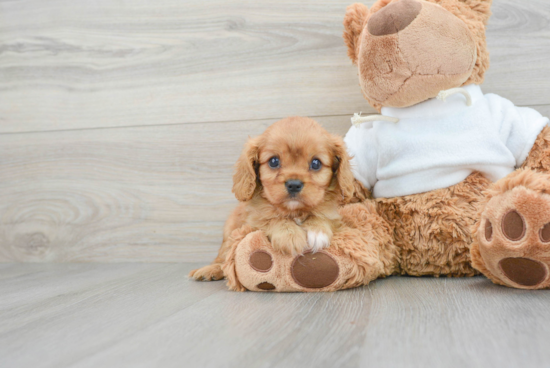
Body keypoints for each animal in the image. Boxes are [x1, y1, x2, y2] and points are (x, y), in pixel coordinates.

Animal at [191, 116, 366, 280]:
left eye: (316, 163)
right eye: (274, 161)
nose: (294, 184)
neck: (294, 211)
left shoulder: (335, 218)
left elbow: (322, 216)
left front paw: (317, 230)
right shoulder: (253, 221)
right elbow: (272, 218)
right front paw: (290, 235)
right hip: (230, 229)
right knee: (223, 257)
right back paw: (210, 270)